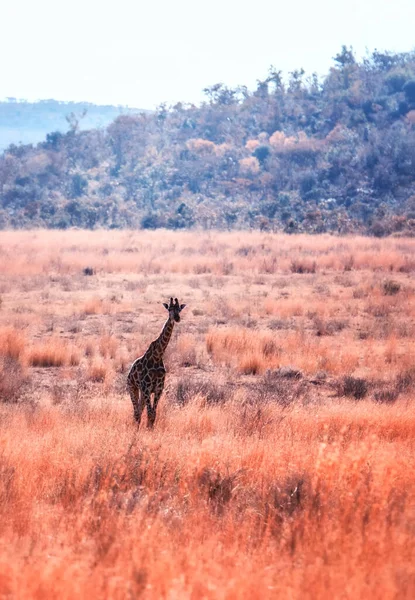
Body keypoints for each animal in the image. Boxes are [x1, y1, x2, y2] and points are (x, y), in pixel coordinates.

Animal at [126, 296, 186, 426]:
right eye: (169, 309)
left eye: (179, 309)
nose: (177, 318)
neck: (157, 356)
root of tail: (129, 372)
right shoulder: (147, 389)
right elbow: (150, 413)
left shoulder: (158, 389)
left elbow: (153, 414)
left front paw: (150, 429)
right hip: (132, 388)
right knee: (136, 413)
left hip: (142, 392)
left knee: (139, 410)